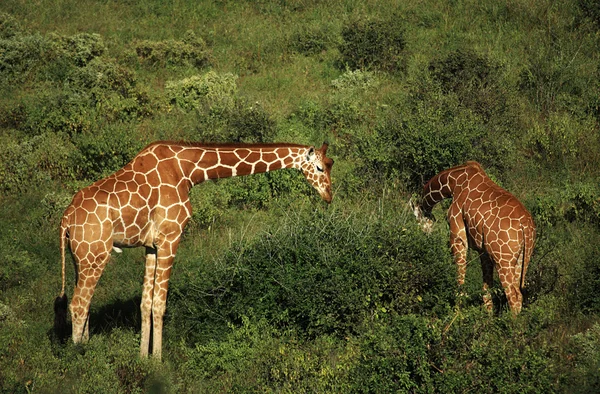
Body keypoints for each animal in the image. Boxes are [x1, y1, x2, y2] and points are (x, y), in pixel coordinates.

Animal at [54, 140, 336, 358]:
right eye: (320, 167)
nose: (329, 196)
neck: (189, 171)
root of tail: (65, 218)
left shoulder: (152, 246)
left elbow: (145, 303)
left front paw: (142, 358)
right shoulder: (171, 237)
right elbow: (160, 304)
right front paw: (158, 361)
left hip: (80, 257)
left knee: (84, 303)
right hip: (95, 254)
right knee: (78, 304)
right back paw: (81, 357)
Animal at [412, 160, 536, 314]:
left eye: (417, 219)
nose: (425, 237)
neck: (452, 183)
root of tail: (526, 226)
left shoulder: (458, 236)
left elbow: (460, 280)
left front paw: (457, 313)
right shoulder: (483, 251)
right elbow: (486, 291)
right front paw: (488, 316)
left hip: (503, 259)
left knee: (513, 295)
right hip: (521, 258)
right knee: (518, 293)